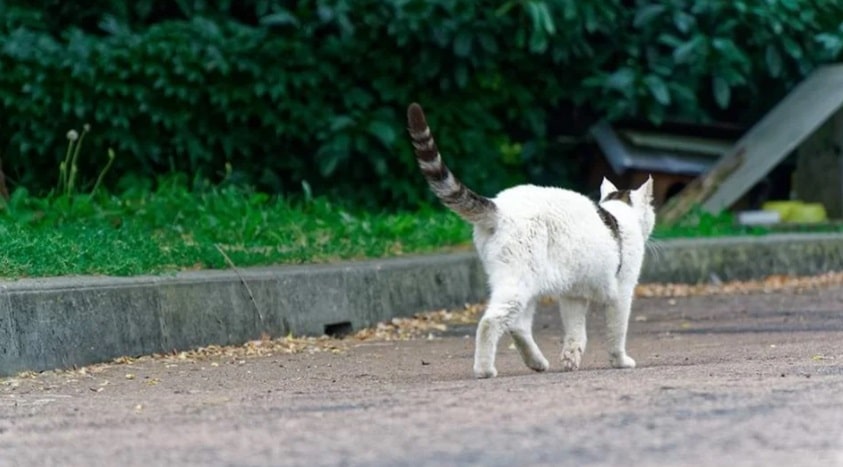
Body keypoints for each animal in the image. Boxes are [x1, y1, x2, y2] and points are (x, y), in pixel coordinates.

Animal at [406, 103, 656, 380]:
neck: (620, 214)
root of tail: (500, 207)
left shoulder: (574, 295)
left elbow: (575, 331)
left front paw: (571, 357)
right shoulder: (622, 292)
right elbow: (616, 333)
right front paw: (620, 361)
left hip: (523, 283)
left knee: (517, 326)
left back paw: (537, 362)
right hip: (521, 280)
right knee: (491, 322)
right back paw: (485, 369)